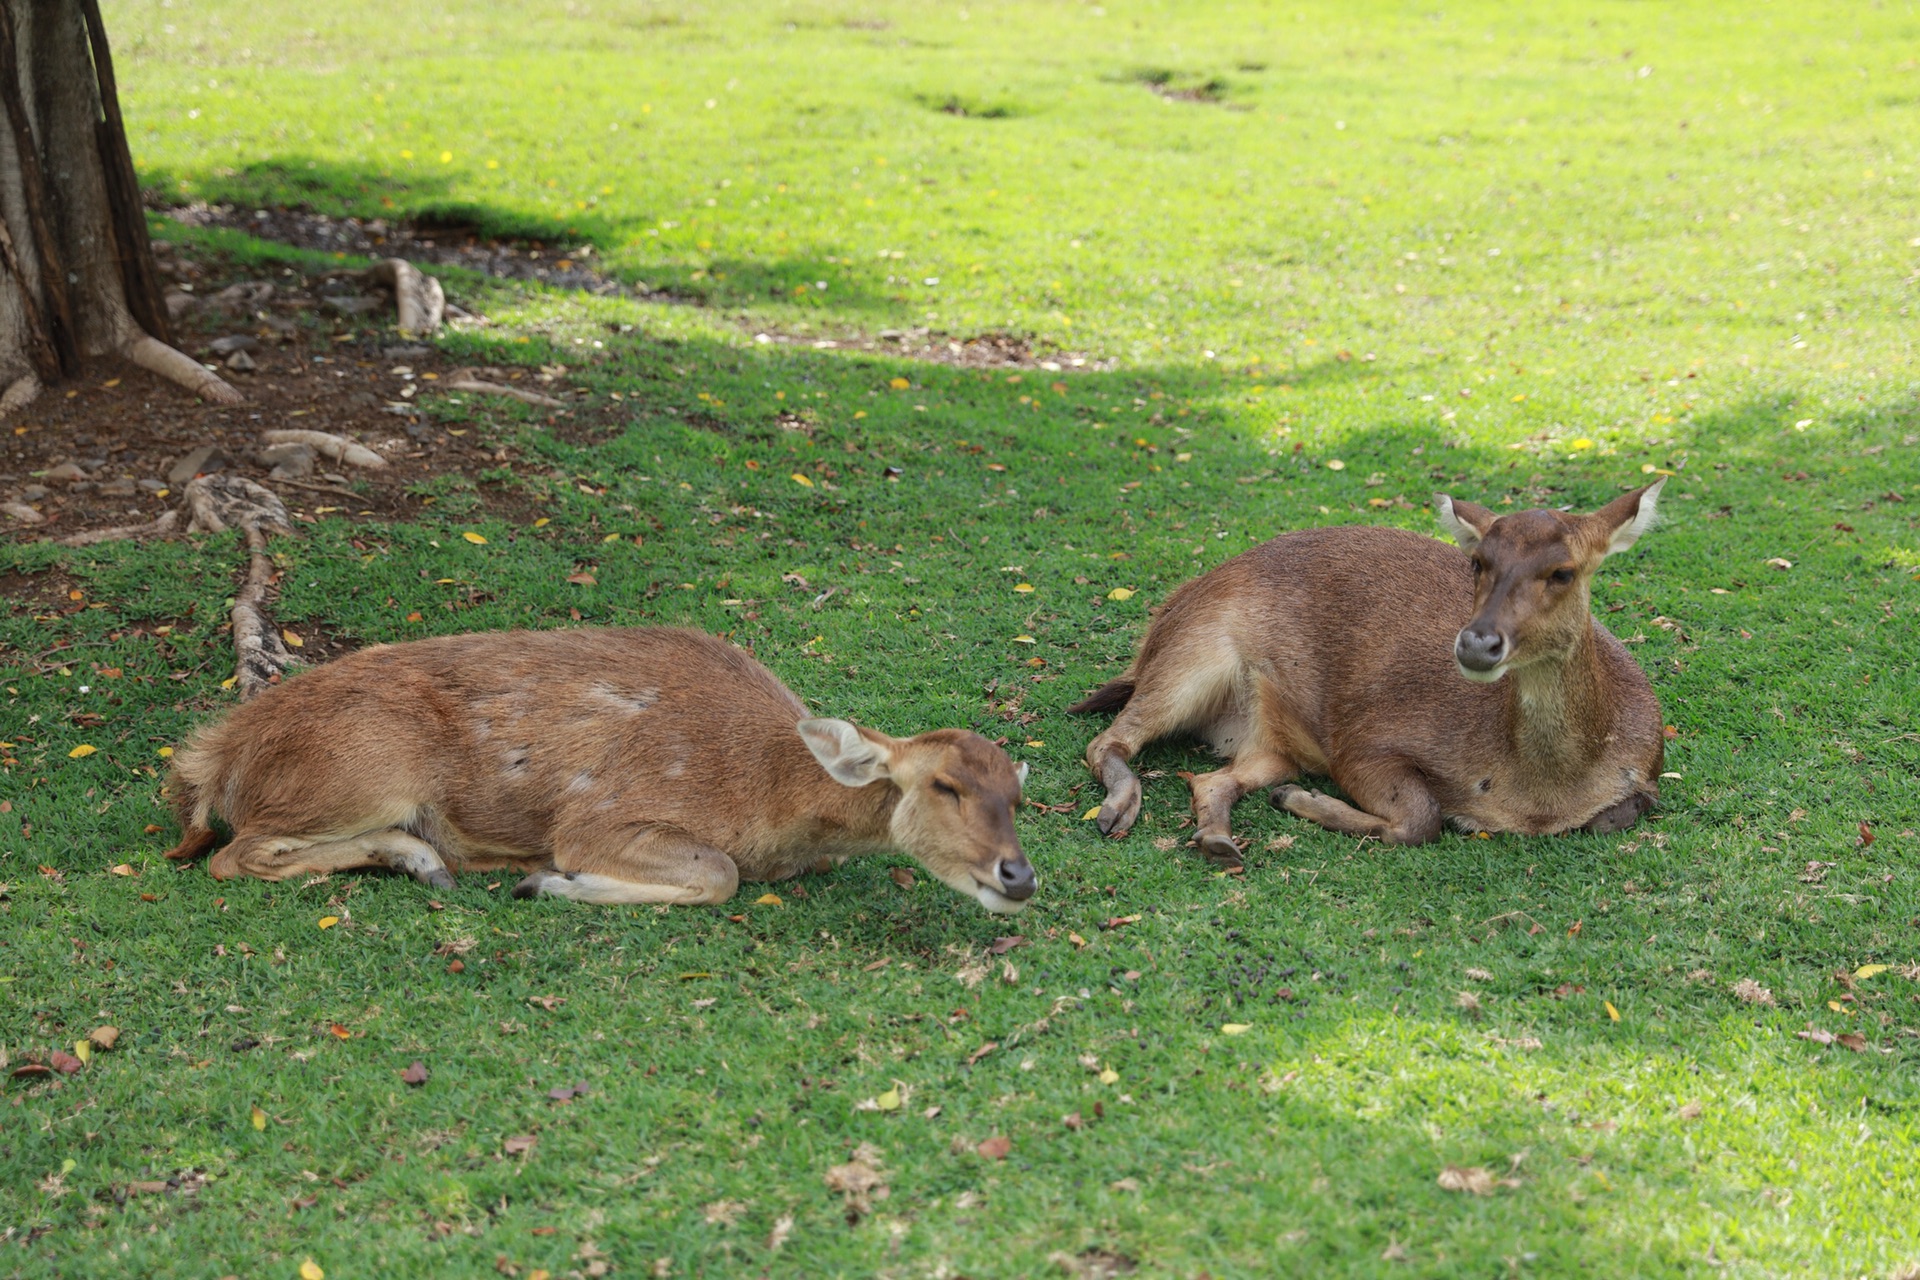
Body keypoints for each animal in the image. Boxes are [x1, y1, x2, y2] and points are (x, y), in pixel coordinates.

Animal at [163, 629, 1036, 909]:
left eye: (1016, 795)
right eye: (944, 785)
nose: (1018, 875)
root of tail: (217, 755)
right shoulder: (602, 817)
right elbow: (717, 873)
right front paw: (546, 880)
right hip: (364, 770)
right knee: (235, 855)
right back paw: (425, 858)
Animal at [1067, 479, 1666, 859]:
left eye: (1563, 571)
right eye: (1478, 562)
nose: (1477, 642)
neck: (1538, 798)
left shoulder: (1647, 769)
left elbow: (1617, 813)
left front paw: (1296, 801)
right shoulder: (1365, 741)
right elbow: (1423, 818)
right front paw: (1305, 801)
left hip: (1268, 739)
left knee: (1213, 778)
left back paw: (1220, 839)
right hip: (1195, 650)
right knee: (1110, 737)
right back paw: (1118, 811)